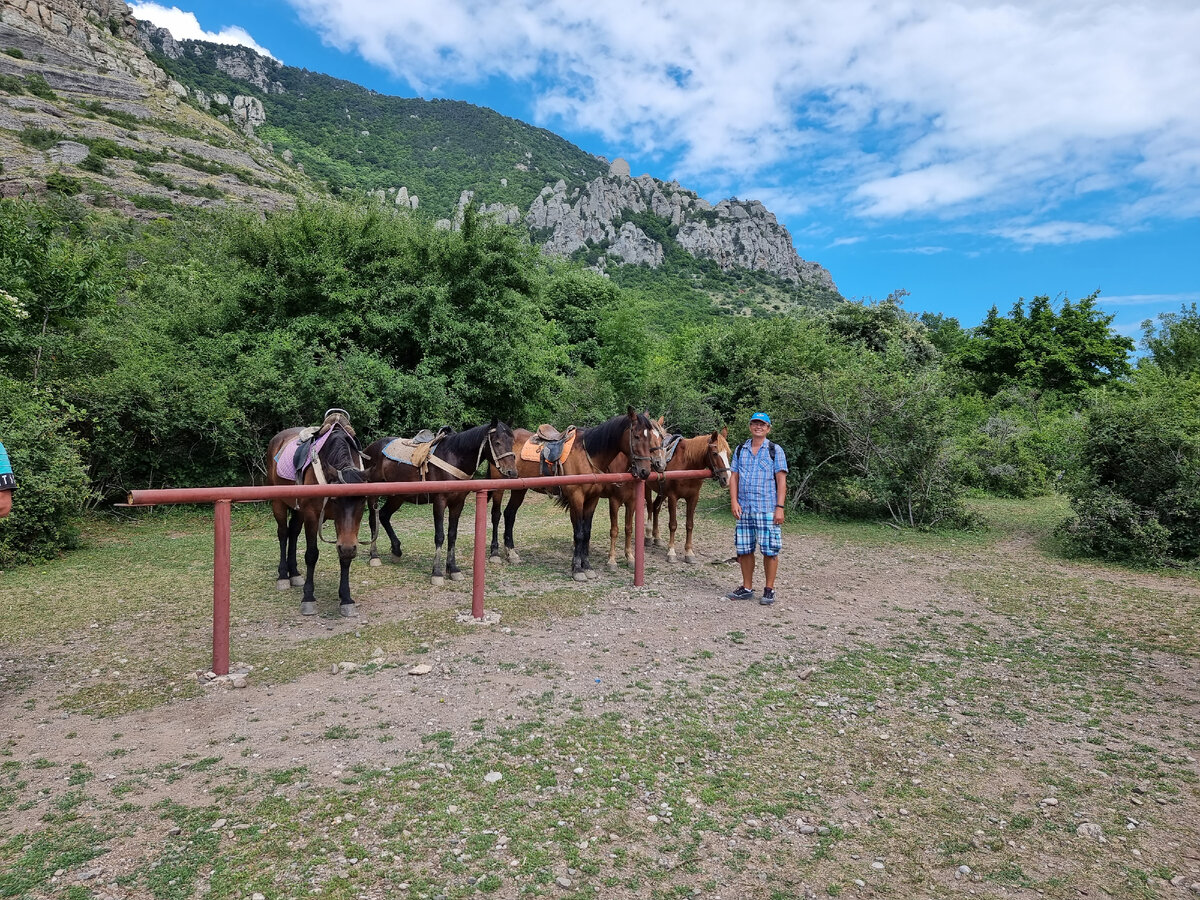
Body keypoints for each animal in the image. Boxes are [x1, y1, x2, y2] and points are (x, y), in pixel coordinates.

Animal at [265, 415, 367, 619]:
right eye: (335, 500)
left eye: (362, 502)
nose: (349, 548)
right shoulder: (312, 516)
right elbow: (311, 555)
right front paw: (308, 598)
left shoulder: (344, 529)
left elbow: (344, 556)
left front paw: (346, 599)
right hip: (278, 503)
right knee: (283, 533)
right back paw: (283, 576)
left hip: (298, 510)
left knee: (293, 532)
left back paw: (294, 573)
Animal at [362, 422, 518, 585]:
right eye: (497, 442)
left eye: (512, 442)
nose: (512, 472)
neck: (454, 456)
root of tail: (368, 450)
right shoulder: (439, 502)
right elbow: (440, 536)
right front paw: (436, 573)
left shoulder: (458, 503)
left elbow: (452, 535)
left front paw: (453, 569)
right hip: (374, 493)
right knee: (373, 520)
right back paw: (374, 556)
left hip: (397, 497)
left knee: (384, 516)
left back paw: (396, 550)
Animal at [487, 408, 667, 580]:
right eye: (636, 436)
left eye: (654, 438)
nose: (646, 470)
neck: (589, 456)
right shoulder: (578, 498)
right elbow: (579, 533)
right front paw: (577, 569)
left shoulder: (594, 499)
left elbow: (587, 532)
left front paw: (587, 566)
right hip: (499, 488)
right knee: (496, 515)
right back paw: (495, 553)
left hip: (519, 489)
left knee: (510, 514)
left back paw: (511, 553)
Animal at [643, 427, 734, 564]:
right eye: (714, 453)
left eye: (728, 453)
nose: (726, 479)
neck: (687, 464)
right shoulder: (673, 497)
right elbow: (673, 524)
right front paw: (671, 552)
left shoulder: (693, 498)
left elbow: (690, 525)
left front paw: (689, 553)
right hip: (647, 488)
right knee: (649, 507)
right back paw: (648, 536)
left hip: (662, 493)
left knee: (655, 508)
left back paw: (657, 537)